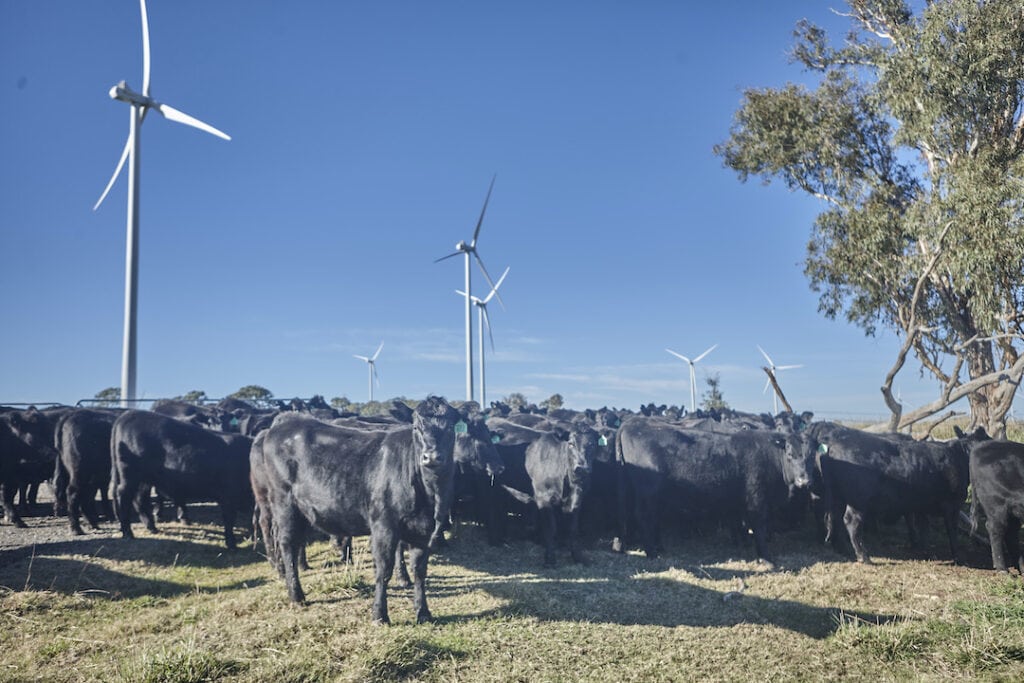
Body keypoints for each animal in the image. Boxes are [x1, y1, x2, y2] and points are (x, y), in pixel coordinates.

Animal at [111, 409, 252, 548]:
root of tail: (127, 415)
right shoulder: (229, 495)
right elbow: (229, 519)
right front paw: (232, 543)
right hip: (129, 476)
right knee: (123, 496)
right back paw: (128, 533)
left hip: (144, 479)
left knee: (140, 498)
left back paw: (151, 527)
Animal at [258, 395, 462, 626]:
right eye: (416, 427)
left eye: (451, 427)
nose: (431, 457)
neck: (430, 493)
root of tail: (286, 420)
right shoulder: (383, 525)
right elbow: (383, 569)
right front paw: (379, 615)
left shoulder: (423, 530)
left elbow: (419, 570)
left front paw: (424, 612)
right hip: (283, 501)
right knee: (287, 543)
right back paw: (296, 594)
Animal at [610, 417, 811, 565]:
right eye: (790, 455)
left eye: (809, 456)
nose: (805, 480)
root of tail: (632, 422)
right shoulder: (757, 499)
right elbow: (759, 527)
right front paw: (766, 559)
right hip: (648, 492)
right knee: (643, 517)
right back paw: (652, 552)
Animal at [802, 421, 987, 565]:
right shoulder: (951, 505)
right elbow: (952, 533)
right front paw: (958, 557)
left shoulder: (921, 506)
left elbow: (923, 529)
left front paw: (926, 551)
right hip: (858, 499)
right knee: (850, 521)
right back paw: (864, 557)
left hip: (836, 496)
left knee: (832, 518)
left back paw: (840, 548)